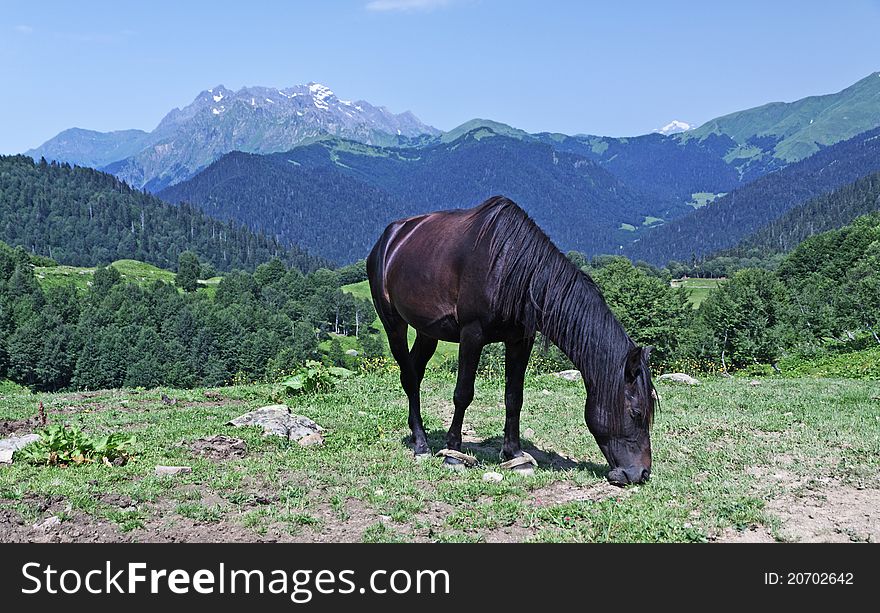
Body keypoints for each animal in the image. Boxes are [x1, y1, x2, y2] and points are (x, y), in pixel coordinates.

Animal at [364, 196, 652, 482]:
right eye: (636, 413)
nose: (641, 473)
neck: (512, 267)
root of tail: (388, 240)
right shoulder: (472, 335)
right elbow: (463, 394)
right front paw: (453, 454)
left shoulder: (520, 341)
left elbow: (514, 397)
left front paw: (515, 455)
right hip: (393, 324)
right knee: (409, 376)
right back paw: (422, 444)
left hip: (427, 331)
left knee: (415, 371)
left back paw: (417, 435)